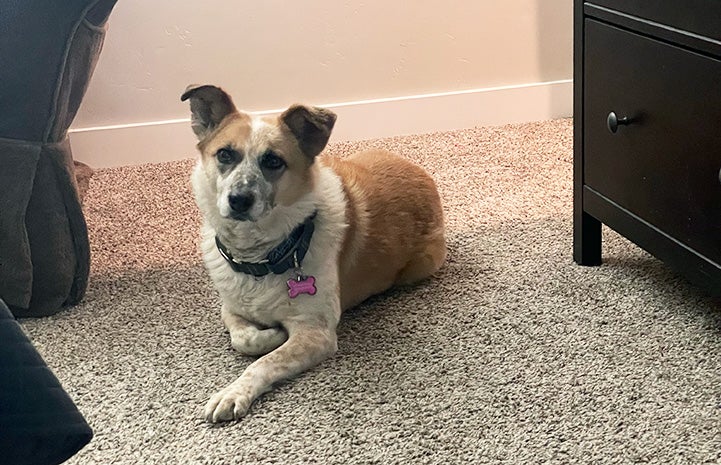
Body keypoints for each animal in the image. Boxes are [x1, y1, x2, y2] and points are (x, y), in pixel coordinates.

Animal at [181, 83, 444, 420]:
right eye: (225, 154)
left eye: (273, 161)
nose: (239, 199)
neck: (259, 258)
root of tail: (421, 172)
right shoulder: (230, 305)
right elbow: (244, 338)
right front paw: (269, 336)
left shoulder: (315, 333)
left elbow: (263, 363)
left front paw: (233, 392)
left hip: (421, 265)